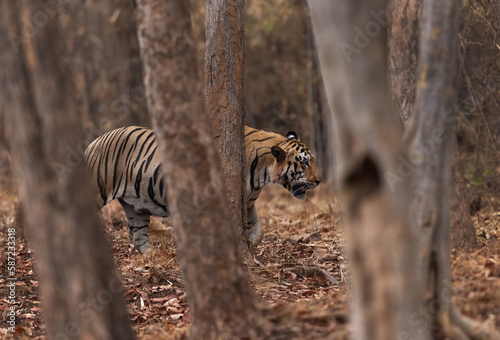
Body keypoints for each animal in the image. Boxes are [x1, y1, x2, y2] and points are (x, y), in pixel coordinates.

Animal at [84, 125, 322, 252]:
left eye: (312, 160)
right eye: (304, 163)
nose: (320, 180)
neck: (263, 174)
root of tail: (92, 142)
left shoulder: (248, 202)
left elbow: (260, 228)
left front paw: (252, 244)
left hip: (136, 206)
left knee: (137, 237)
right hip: (96, 192)